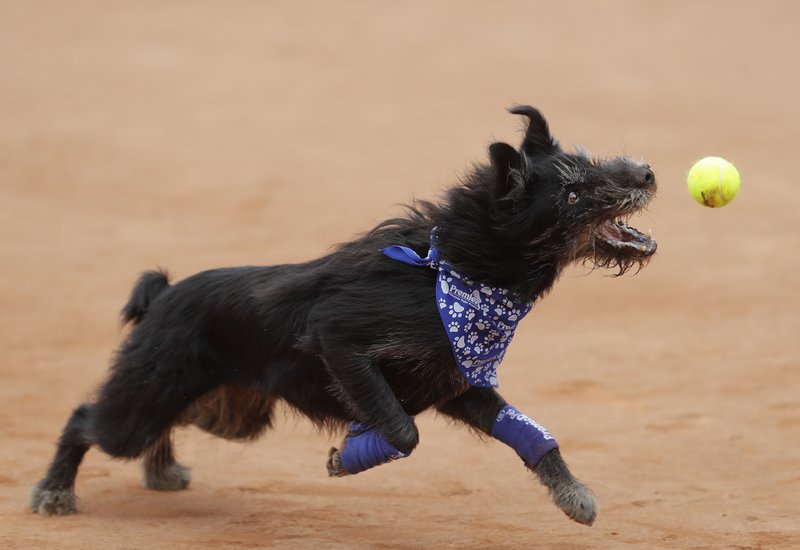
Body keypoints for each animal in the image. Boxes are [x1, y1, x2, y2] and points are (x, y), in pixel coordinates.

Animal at [29, 106, 656, 528]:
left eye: (592, 162)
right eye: (573, 193)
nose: (648, 173)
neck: (453, 272)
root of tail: (163, 295)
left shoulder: (460, 387)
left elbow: (534, 436)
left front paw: (574, 496)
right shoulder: (342, 344)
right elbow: (402, 431)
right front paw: (347, 458)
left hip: (223, 411)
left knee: (164, 423)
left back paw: (159, 471)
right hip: (147, 403)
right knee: (86, 420)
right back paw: (54, 492)